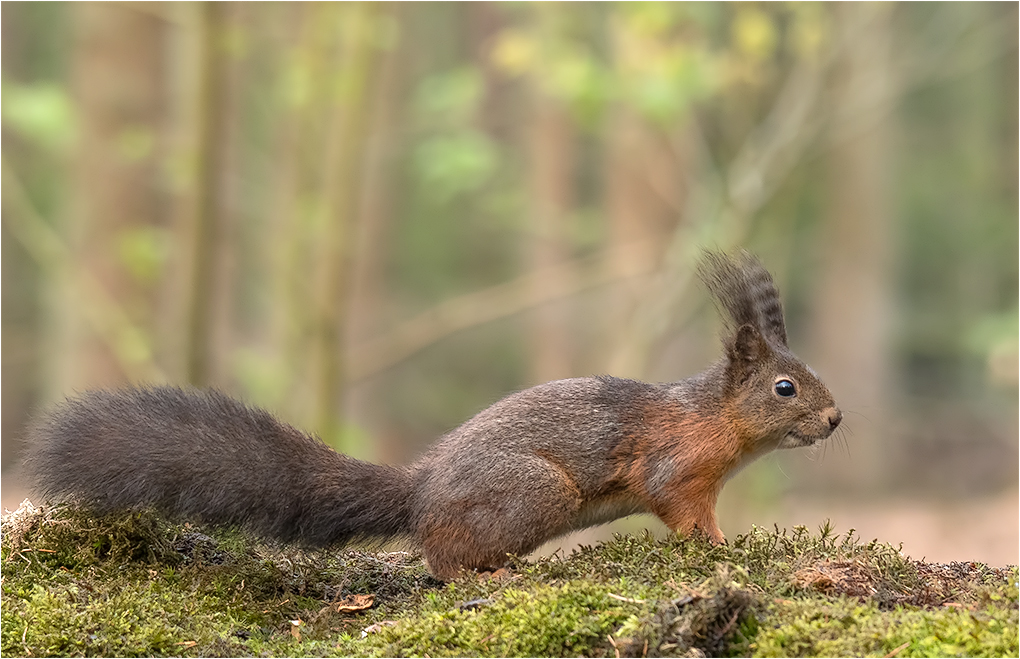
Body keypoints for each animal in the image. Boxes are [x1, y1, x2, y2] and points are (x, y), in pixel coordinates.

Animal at [23, 250, 840, 579]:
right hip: (535, 491)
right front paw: (720, 549)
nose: (835, 420)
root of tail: (421, 491)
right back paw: (492, 573)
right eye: (785, 388)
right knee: (442, 562)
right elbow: (683, 511)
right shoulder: (676, 467)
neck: (715, 419)